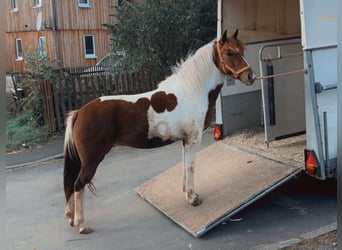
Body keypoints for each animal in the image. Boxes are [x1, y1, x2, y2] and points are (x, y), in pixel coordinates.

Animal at [64, 29, 256, 234]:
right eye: (229, 53)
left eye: (242, 50)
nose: (250, 76)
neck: (193, 91)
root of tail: (79, 112)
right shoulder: (193, 140)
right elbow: (191, 167)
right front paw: (193, 198)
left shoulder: (185, 141)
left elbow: (183, 165)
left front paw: (185, 191)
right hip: (91, 160)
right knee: (78, 185)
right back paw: (82, 225)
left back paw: (71, 217)